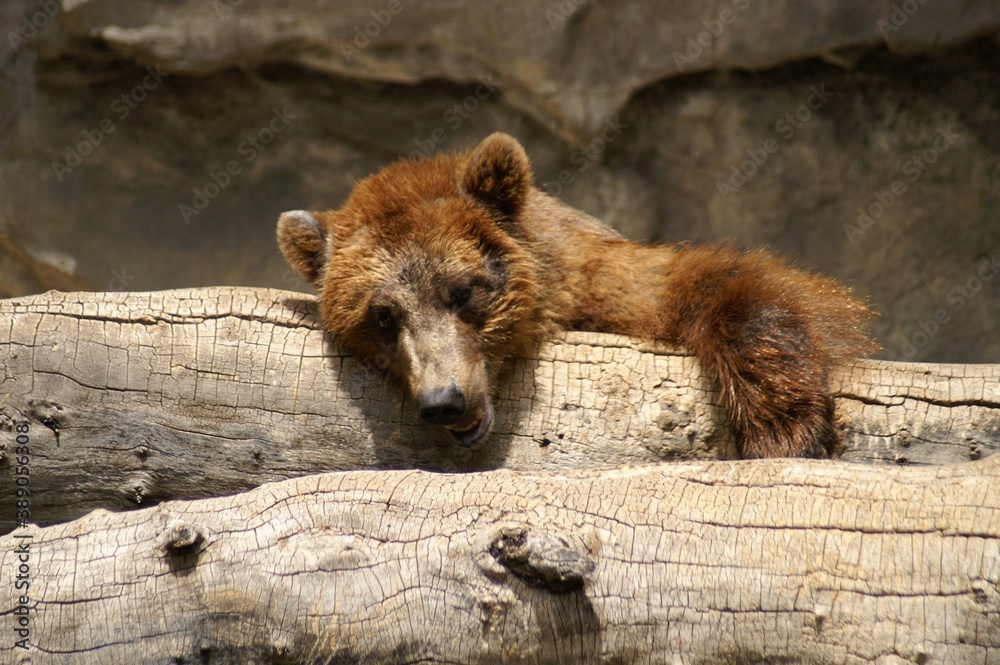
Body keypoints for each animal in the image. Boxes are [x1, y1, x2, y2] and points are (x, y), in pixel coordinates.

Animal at [278, 134, 880, 456]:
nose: (444, 400)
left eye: (463, 290)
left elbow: (727, 284)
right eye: (382, 316)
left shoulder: (607, 286)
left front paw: (785, 431)